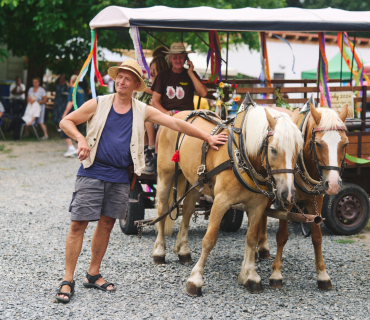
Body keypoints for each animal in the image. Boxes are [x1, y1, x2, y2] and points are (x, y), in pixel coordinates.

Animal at [152, 99, 304, 296]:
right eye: (273, 149)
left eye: (298, 150)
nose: (288, 193)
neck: (242, 156)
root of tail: (177, 115)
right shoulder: (221, 201)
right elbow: (209, 240)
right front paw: (195, 280)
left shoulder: (257, 206)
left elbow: (251, 239)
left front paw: (251, 276)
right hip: (166, 175)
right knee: (162, 210)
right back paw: (159, 252)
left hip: (195, 181)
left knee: (187, 211)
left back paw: (183, 250)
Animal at [258, 102, 350, 290]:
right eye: (318, 144)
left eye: (344, 144)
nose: (333, 184)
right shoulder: (286, 199)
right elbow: (282, 236)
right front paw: (276, 273)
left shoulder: (317, 200)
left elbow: (317, 237)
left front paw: (322, 275)